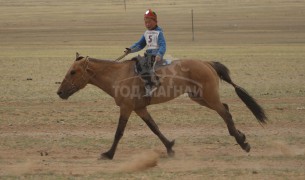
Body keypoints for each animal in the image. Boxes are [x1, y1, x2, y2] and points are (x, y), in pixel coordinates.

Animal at [57, 52, 266, 160]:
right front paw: (170, 147)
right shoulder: (140, 108)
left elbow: (119, 132)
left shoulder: (126, 108)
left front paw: (108, 154)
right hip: (201, 98)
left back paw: (243, 143)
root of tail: (206, 63)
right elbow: (154, 128)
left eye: (73, 72)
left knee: (225, 113)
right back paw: (241, 137)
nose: (59, 92)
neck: (118, 75)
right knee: (226, 109)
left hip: (209, 97)